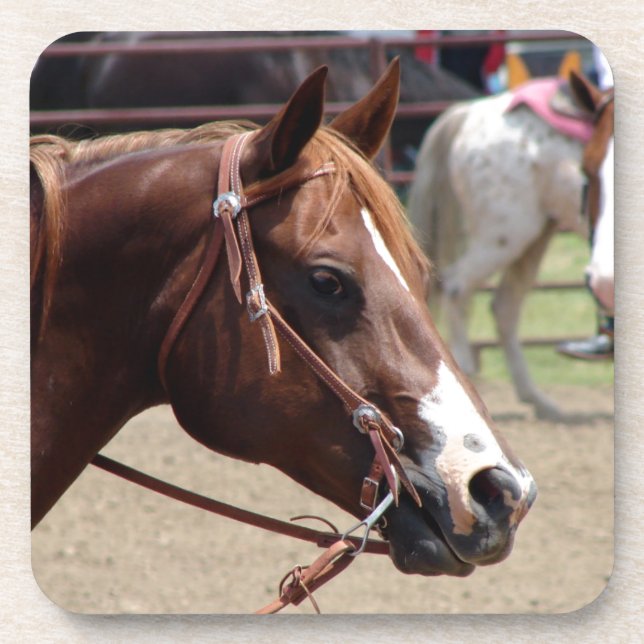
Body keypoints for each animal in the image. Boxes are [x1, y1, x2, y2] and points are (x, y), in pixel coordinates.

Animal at [408, 72, 609, 420]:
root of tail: (468, 113)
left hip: (535, 236)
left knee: (504, 307)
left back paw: (538, 400)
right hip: (506, 234)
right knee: (457, 286)